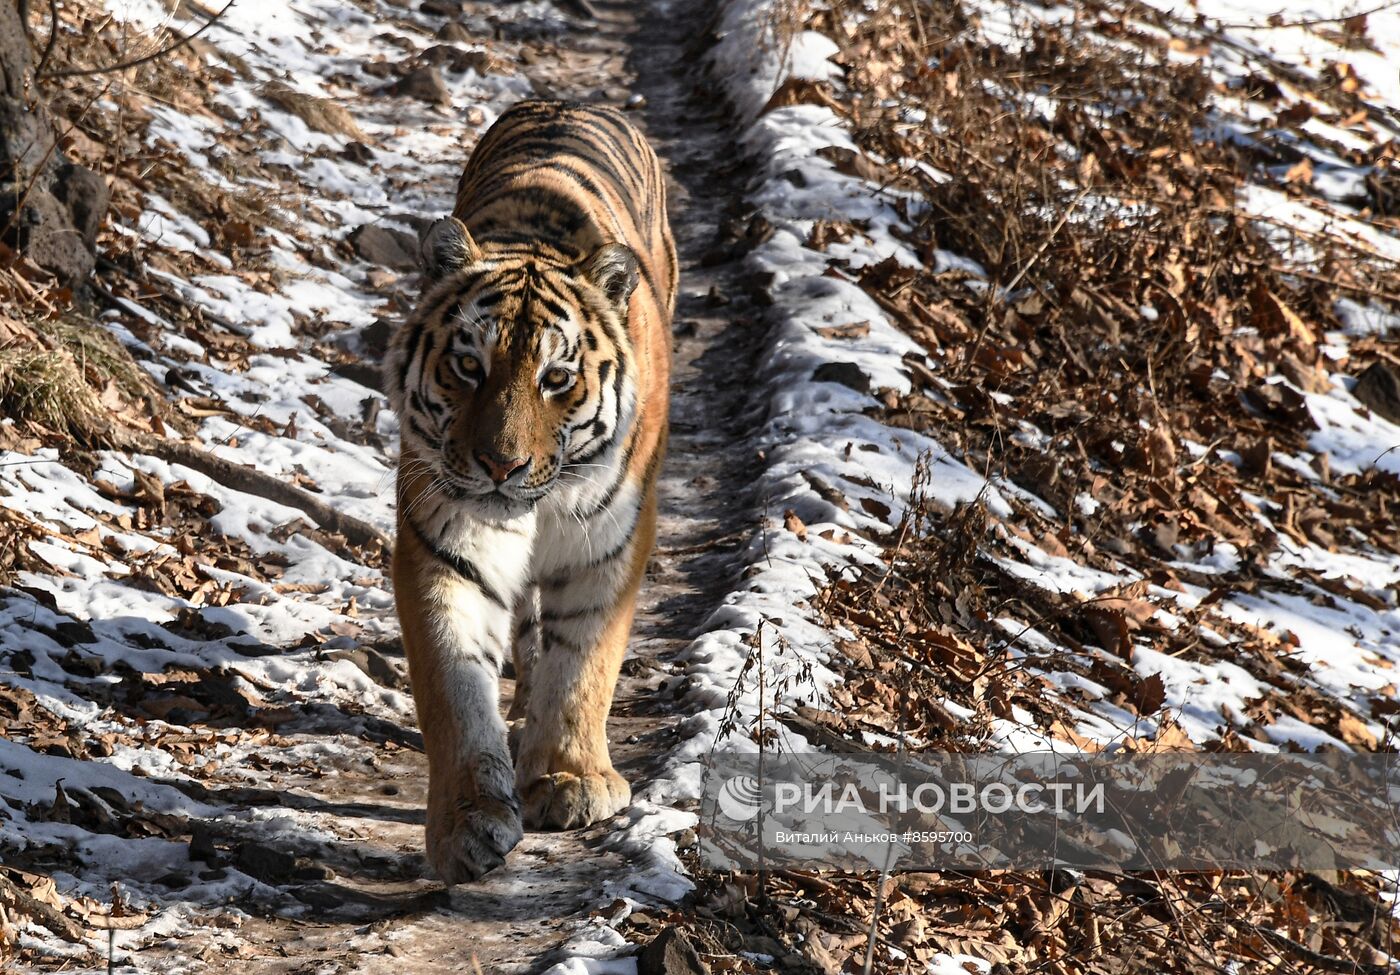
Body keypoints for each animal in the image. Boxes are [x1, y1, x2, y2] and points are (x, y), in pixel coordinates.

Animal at [380, 98, 669, 885]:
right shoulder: (444, 541)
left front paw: (570, 779)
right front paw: (467, 822)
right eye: (468, 367)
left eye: (556, 378)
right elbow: (454, 688)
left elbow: (585, 662)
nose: (501, 465)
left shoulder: (610, 542)